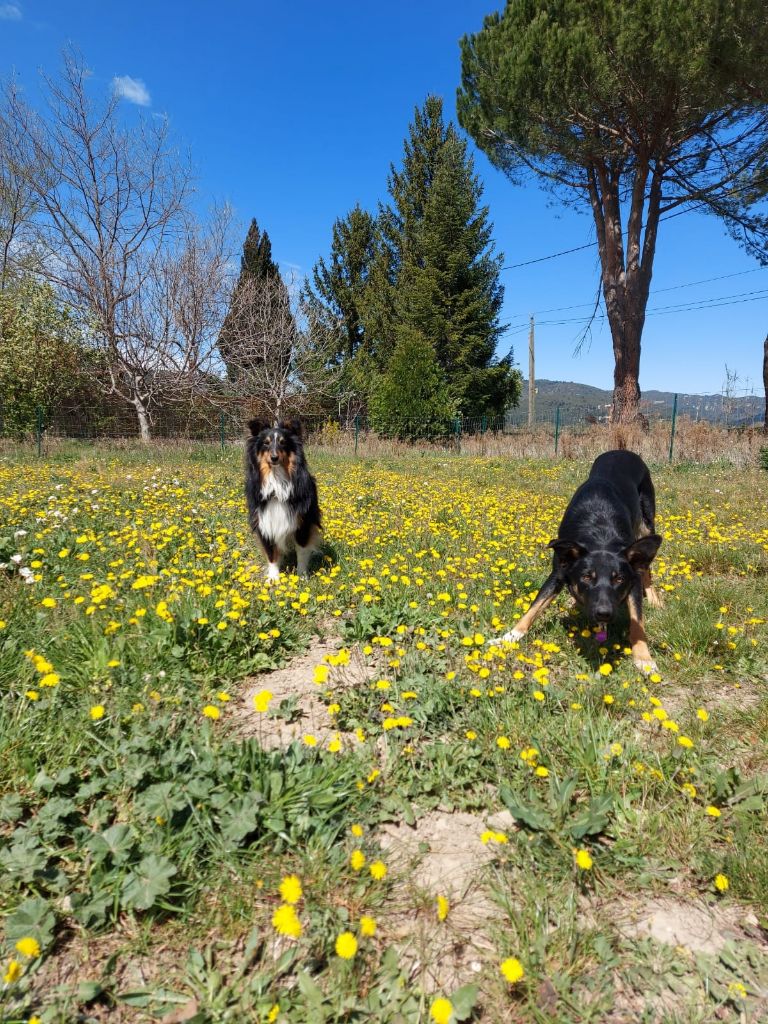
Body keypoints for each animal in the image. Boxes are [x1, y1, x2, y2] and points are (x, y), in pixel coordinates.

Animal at [501, 450, 663, 671]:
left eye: (619, 579)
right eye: (586, 577)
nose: (604, 614)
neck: (600, 536)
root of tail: (623, 451)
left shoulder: (632, 578)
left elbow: (637, 621)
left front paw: (644, 659)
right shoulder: (558, 572)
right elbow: (534, 607)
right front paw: (508, 638)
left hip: (647, 522)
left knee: (647, 569)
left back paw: (654, 599)